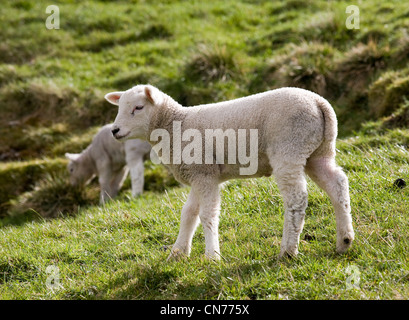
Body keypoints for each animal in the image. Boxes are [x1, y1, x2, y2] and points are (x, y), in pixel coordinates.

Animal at [103, 84, 352, 260]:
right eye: (120, 108)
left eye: (138, 107)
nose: (114, 130)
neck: (175, 124)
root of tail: (319, 103)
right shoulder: (200, 175)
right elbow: (189, 213)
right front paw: (178, 253)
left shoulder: (204, 174)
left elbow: (207, 214)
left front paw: (212, 256)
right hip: (317, 152)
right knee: (337, 184)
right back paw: (345, 240)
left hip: (289, 149)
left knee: (296, 200)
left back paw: (288, 251)